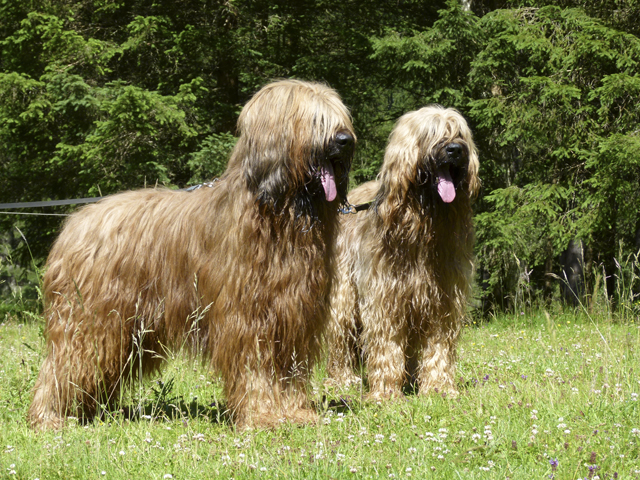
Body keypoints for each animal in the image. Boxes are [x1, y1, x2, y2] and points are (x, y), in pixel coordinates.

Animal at [28, 79, 356, 432]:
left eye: (339, 116)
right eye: (315, 118)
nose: (346, 140)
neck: (278, 214)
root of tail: (74, 224)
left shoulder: (294, 316)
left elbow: (289, 371)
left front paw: (293, 412)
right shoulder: (246, 319)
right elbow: (255, 367)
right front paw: (262, 414)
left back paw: (88, 412)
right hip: (88, 319)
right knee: (65, 363)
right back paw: (49, 417)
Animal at [328, 107, 478, 400]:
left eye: (459, 133)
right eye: (432, 132)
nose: (455, 150)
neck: (423, 223)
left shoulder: (441, 298)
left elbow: (438, 346)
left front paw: (439, 388)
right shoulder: (385, 296)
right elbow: (385, 344)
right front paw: (385, 392)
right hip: (343, 294)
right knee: (341, 335)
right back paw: (342, 379)